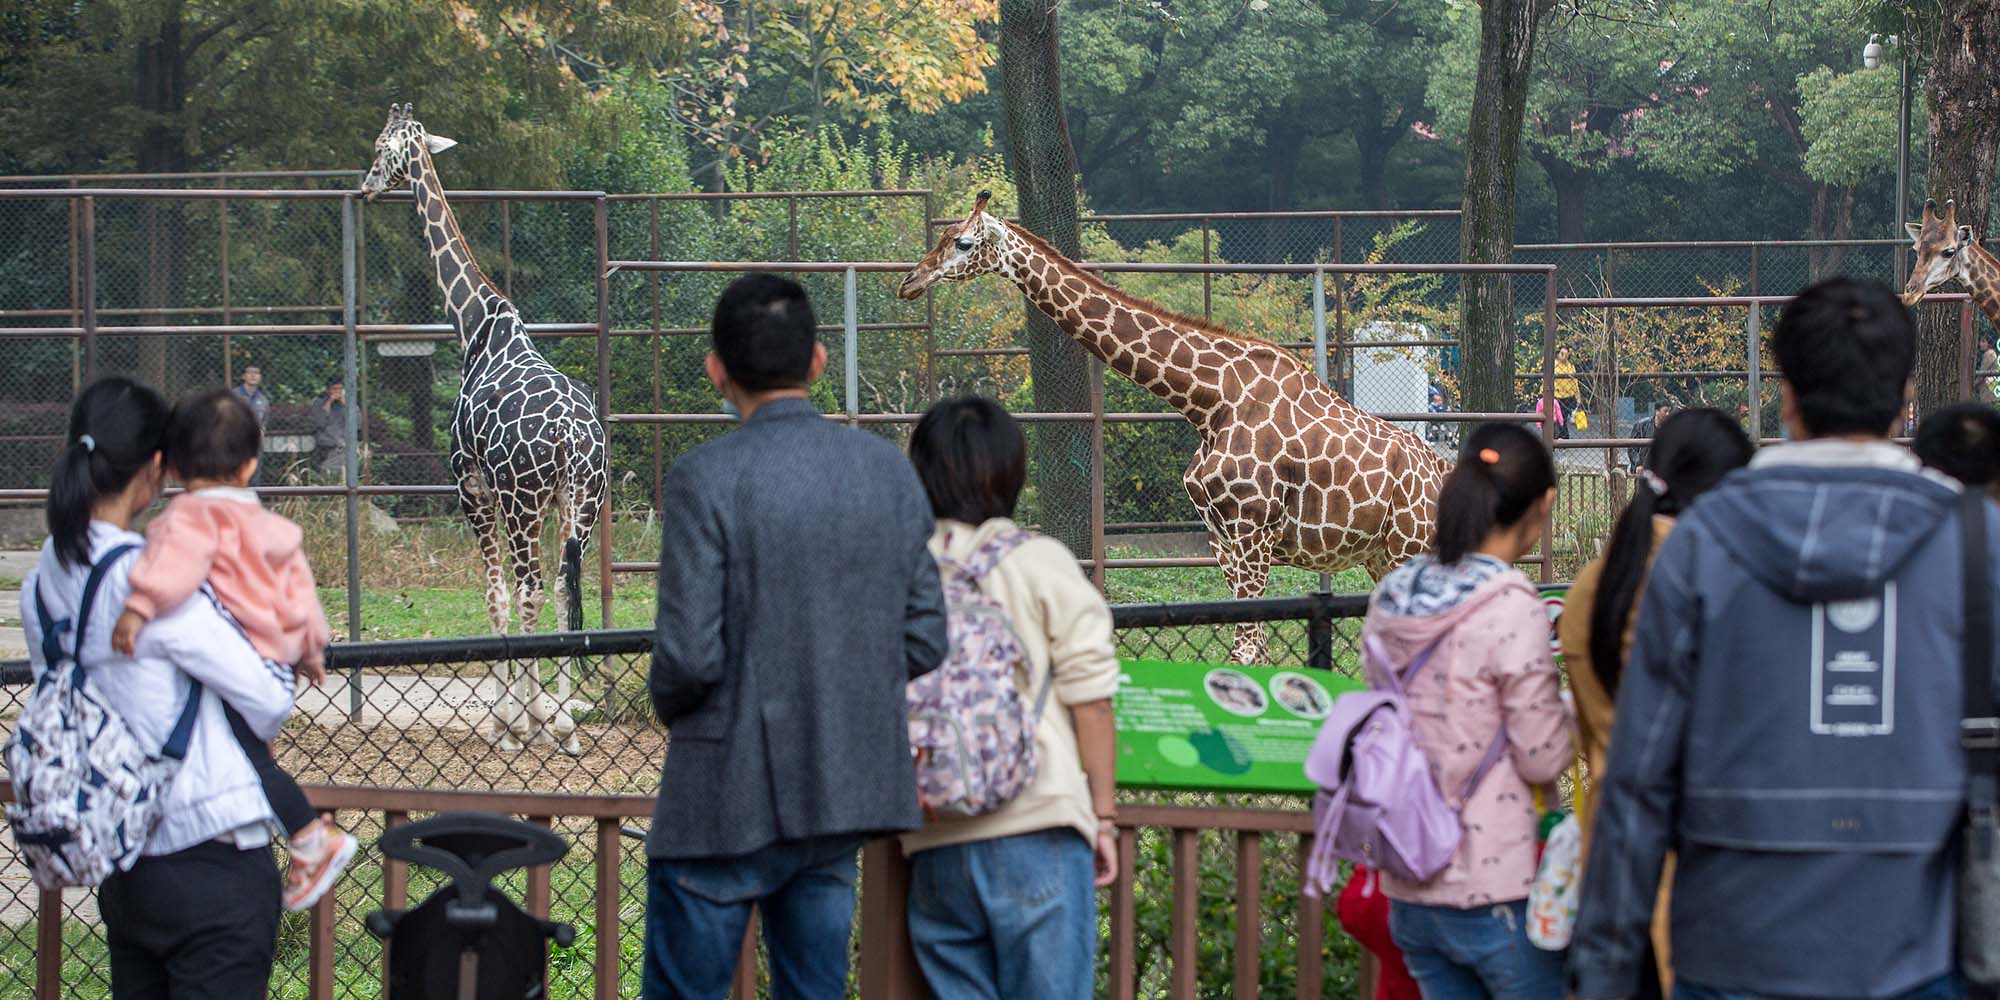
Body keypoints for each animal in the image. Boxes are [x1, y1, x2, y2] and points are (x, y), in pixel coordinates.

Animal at [360, 105, 604, 752]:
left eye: (380, 146)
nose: (366, 186)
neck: (473, 325)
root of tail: (575, 440)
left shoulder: (469, 486)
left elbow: (494, 596)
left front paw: (509, 721)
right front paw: (541, 716)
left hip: (522, 502)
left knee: (529, 588)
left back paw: (532, 721)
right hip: (582, 502)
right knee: (563, 585)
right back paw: (565, 723)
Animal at [900, 193, 1448, 664]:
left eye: (962, 243)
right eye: (943, 235)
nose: (910, 280)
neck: (1208, 403)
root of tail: (1442, 472)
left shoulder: (1252, 533)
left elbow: (1245, 652)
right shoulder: (1223, 540)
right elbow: (1256, 651)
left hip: (1410, 550)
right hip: (1382, 558)